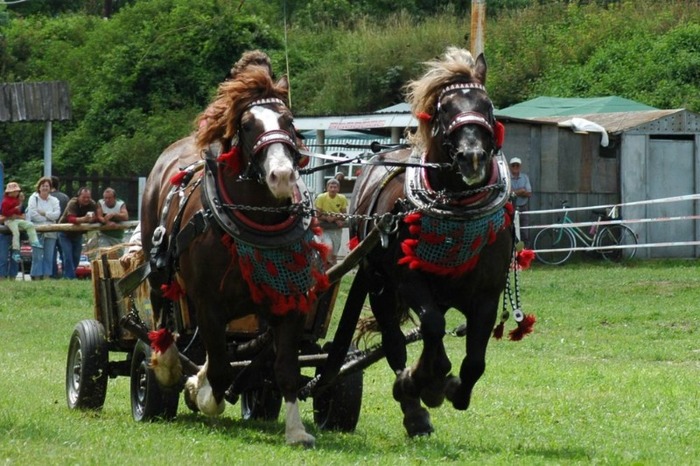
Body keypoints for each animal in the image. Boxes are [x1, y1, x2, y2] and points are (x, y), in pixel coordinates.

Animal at [352, 47, 516, 436]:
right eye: (444, 109)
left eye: (488, 106)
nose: (472, 157)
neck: (455, 207)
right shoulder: (407, 277)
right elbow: (430, 327)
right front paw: (421, 382)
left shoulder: (487, 293)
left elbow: (474, 361)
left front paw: (452, 388)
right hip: (378, 284)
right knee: (396, 342)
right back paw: (413, 407)